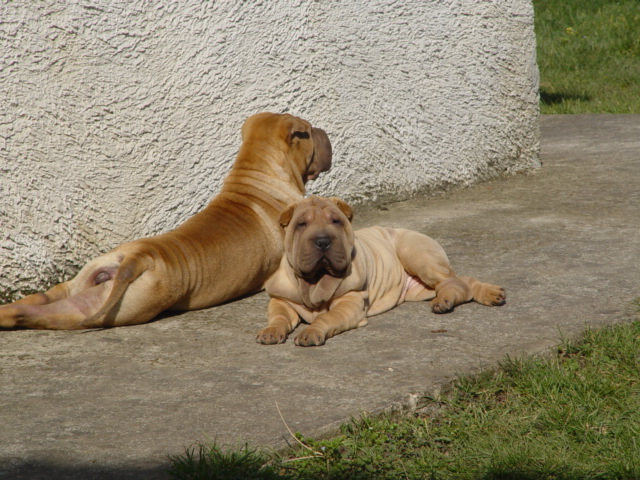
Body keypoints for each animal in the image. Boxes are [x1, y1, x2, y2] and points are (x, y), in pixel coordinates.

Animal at [3, 113, 336, 330]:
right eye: (308, 132)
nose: (322, 129)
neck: (258, 173)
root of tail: (142, 256)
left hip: (83, 289)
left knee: (39, 303)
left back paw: (6, 313)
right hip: (125, 306)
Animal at [256, 197, 504, 346]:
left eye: (336, 221)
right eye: (301, 224)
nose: (323, 241)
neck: (315, 281)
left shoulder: (350, 302)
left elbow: (327, 316)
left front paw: (311, 332)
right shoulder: (280, 300)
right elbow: (279, 316)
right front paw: (271, 330)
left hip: (415, 253)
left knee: (454, 281)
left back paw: (449, 300)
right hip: (419, 287)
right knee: (461, 280)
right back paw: (490, 294)